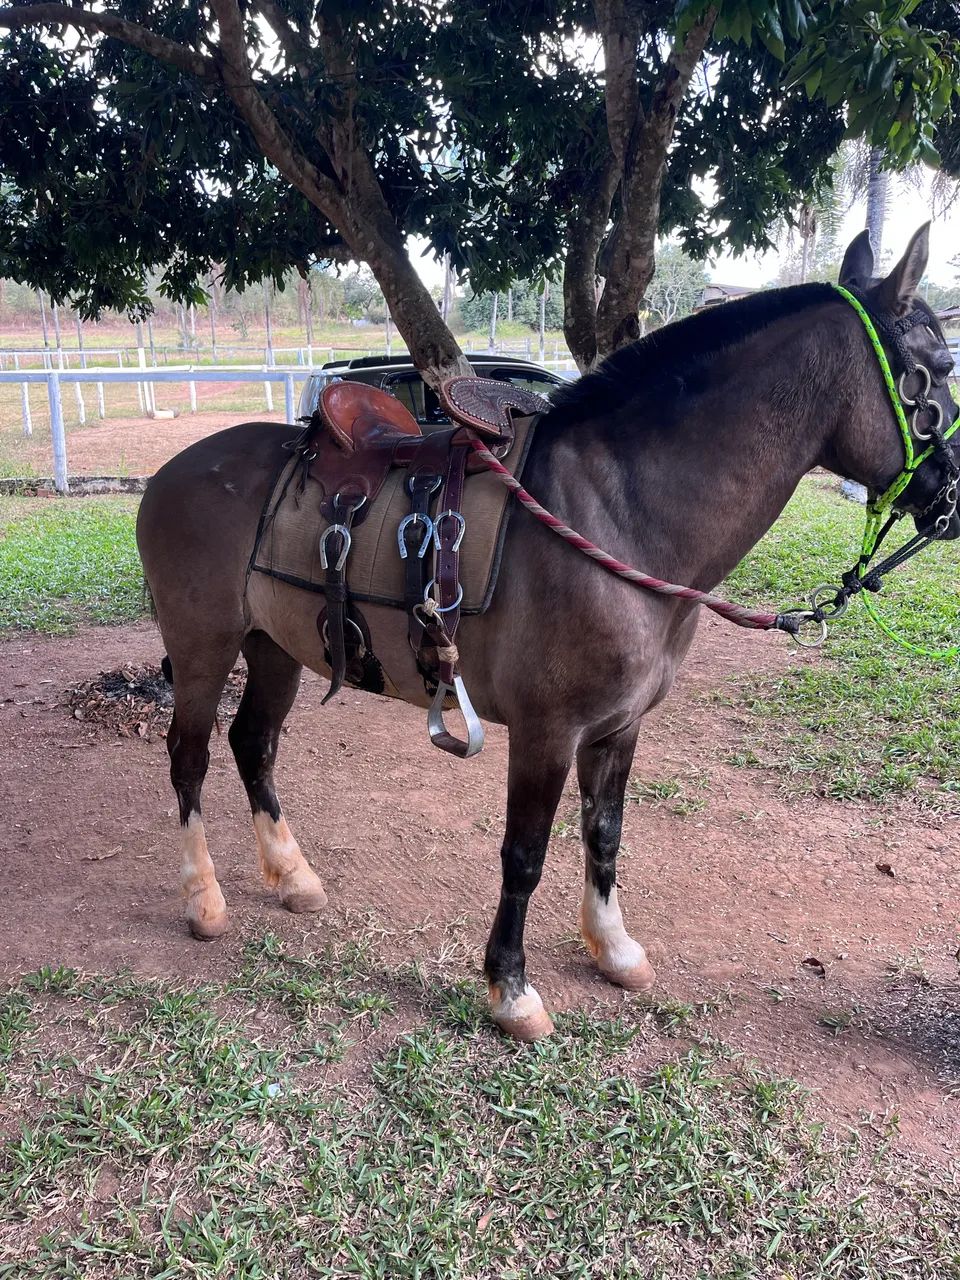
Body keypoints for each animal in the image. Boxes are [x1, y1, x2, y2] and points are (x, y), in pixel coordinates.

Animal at [137, 225, 959, 1041]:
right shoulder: (547, 731)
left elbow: (605, 833)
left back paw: (292, 876)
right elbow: (525, 854)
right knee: (190, 757)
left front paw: (613, 948)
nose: (951, 497)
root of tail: (170, 471)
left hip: (275, 647)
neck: (619, 513)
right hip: (205, 648)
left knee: (254, 744)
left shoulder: (618, 727)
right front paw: (510, 988)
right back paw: (203, 898)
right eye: (939, 368)